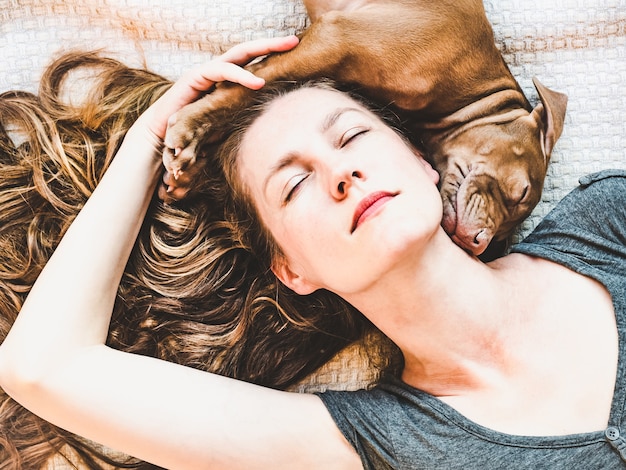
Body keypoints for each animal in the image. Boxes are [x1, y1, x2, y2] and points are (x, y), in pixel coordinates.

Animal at [161, 0, 564, 258]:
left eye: (504, 239)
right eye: (519, 191)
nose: (479, 244)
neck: (468, 92)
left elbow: (245, 102)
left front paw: (191, 168)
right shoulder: (331, 43)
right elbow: (242, 89)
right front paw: (190, 128)